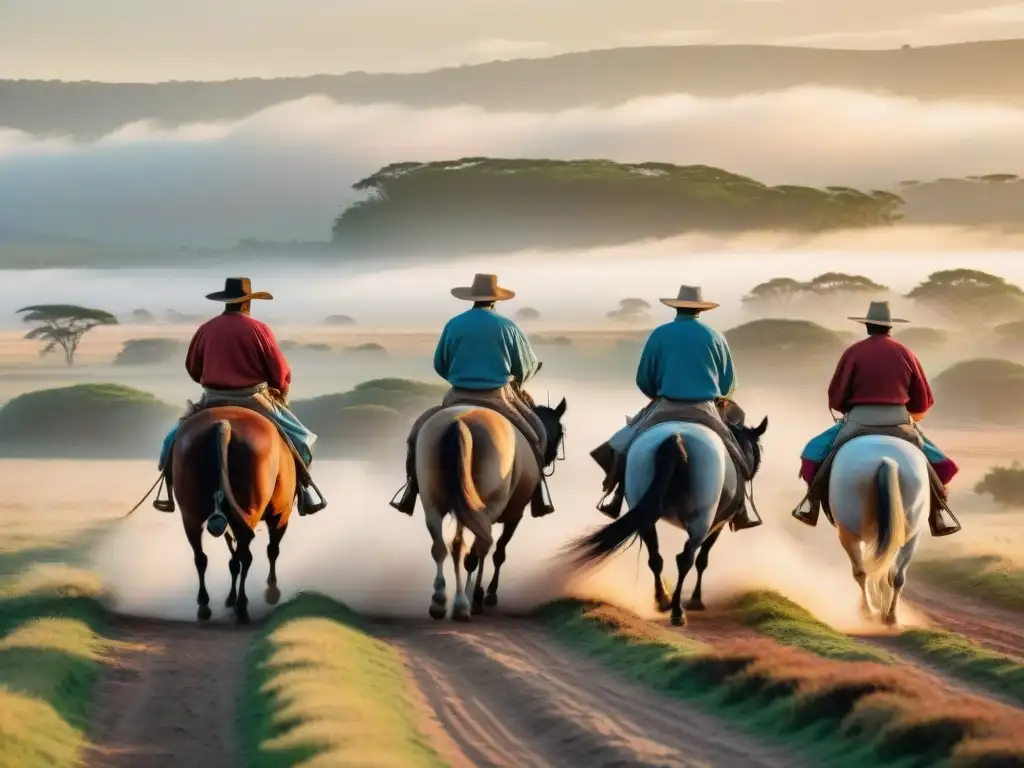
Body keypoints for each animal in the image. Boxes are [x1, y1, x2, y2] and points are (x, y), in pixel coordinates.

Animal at [172, 409, 296, 626]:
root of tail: (224, 425)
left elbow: (233, 560)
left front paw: (229, 598)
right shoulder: (281, 515)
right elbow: (271, 550)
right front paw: (271, 589)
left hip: (191, 514)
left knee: (201, 557)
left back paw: (204, 605)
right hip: (251, 511)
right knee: (247, 556)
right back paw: (241, 607)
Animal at [573, 417, 765, 626]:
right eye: (758, 450)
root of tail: (675, 438)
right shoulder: (717, 526)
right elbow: (702, 560)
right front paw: (696, 600)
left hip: (645, 513)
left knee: (655, 558)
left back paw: (663, 599)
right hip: (700, 521)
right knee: (685, 559)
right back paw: (676, 610)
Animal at [827, 436, 925, 626]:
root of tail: (886, 460)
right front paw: (884, 608)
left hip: (850, 533)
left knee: (862, 572)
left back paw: (868, 611)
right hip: (910, 535)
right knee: (896, 575)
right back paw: (891, 616)